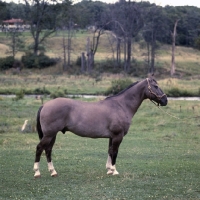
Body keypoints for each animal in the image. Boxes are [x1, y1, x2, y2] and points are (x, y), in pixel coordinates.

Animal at [33, 77, 167, 178]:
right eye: (155, 86)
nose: (165, 100)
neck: (121, 105)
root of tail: (45, 105)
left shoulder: (112, 137)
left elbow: (110, 151)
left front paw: (109, 170)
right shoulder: (118, 136)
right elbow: (115, 152)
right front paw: (114, 170)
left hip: (52, 135)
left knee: (48, 150)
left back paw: (53, 172)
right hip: (49, 134)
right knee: (40, 148)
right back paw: (37, 172)